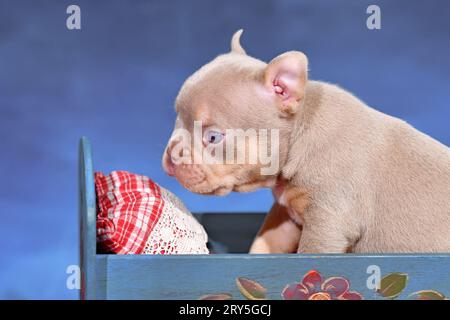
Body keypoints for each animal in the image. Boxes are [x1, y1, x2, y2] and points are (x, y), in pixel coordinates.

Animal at [163, 30, 450, 255]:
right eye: (176, 119)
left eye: (212, 137)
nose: (171, 155)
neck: (299, 134)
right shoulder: (284, 215)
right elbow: (264, 243)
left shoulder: (327, 223)